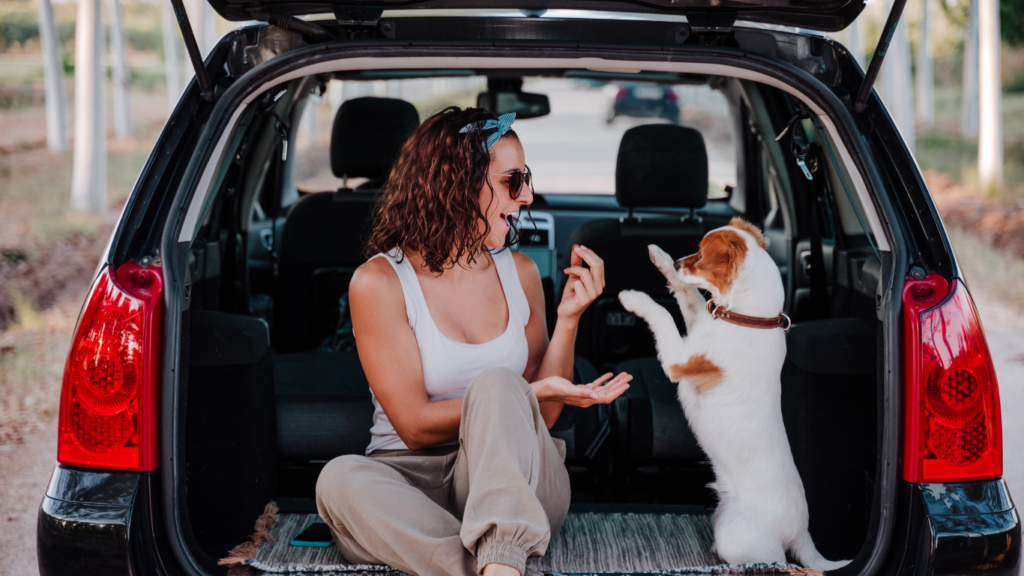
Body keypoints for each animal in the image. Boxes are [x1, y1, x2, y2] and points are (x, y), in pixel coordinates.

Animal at [614, 216, 847, 569]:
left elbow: (664, 313)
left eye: (699, 255)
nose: (679, 261)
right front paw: (660, 258)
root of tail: (800, 533)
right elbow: (687, 292)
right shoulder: (700, 318)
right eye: (691, 251)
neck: (749, 319)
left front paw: (635, 298)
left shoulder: (679, 359)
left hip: (738, 537)